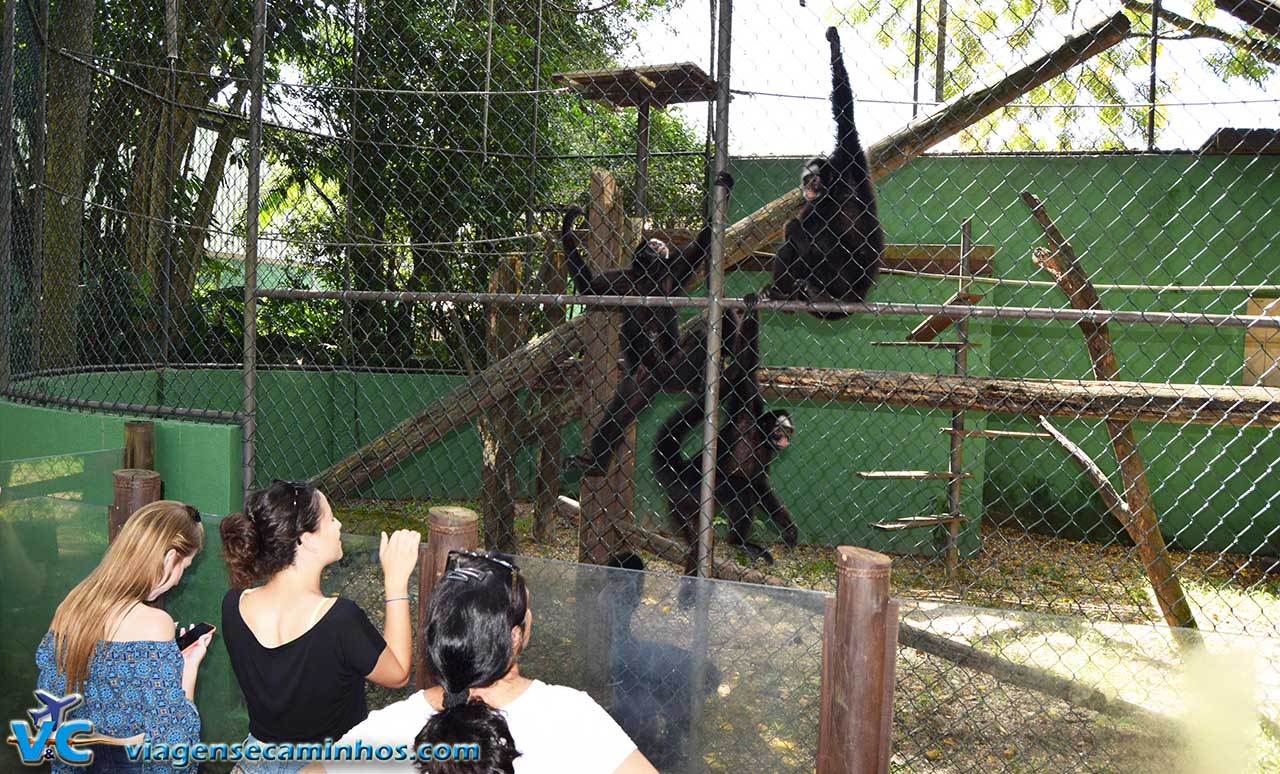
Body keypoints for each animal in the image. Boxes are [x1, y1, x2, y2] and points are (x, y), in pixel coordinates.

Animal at [565, 171, 737, 473]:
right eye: (653, 245)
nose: (661, 245)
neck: (648, 278)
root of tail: (663, 381)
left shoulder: (671, 273)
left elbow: (701, 247)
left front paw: (724, 188)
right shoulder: (624, 280)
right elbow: (590, 288)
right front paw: (567, 223)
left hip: (677, 363)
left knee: (699, 337)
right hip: (639, 383)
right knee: (619, 413)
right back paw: (595, 465)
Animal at [655, 300, 793, 573]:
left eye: (788, 431)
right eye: (780, 430)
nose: (785, 439)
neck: (759, 437)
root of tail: (682, 470)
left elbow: (759, 485)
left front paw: (788, 528)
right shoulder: (746, 412)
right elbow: (747, 364)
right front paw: (750, 309)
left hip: (681, 504)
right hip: (694, 491)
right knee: (740, 489)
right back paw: (737, 542)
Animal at [757, 27, 880, 317]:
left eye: (814, 179)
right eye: (806, 180)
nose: (808, 188)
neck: (834, 192)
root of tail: (858, 295)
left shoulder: (850, 160)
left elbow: (845, 114)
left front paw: (835, 45)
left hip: (841, 281)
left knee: (808, 233)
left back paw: (818, 292)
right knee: (795, 232)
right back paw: (783, 294)